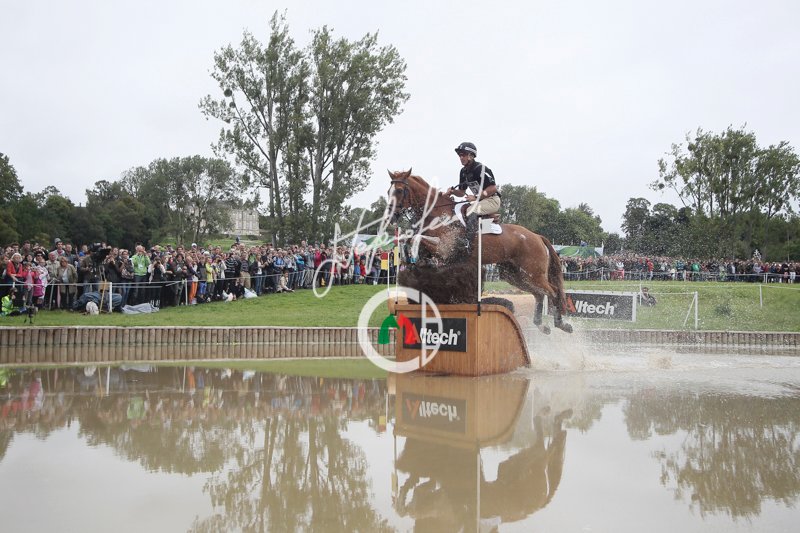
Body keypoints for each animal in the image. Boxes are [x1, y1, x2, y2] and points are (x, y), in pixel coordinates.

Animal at [388, 169, 572, 334]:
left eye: (399, 190)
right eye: (389, 191)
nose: (391, 216)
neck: (437, 212)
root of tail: (537, 236)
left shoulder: (444, 248)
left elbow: (415, 238)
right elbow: (410, 239)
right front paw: (415, 262)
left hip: (532, 273)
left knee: (552, 291)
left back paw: (561, 324)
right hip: (515, 275)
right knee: (539, 294)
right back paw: (542, 325)